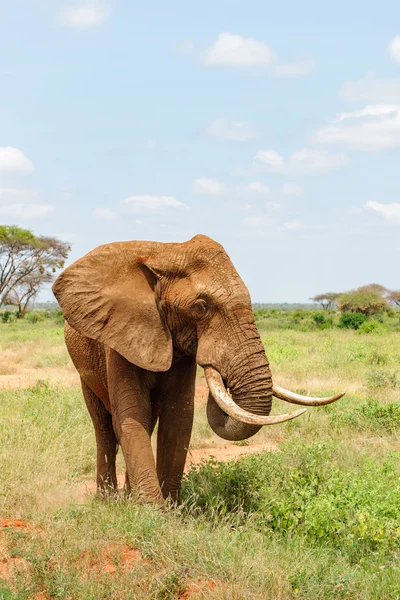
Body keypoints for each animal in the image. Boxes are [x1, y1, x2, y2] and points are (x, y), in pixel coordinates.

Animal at [51, 236, 342, 506]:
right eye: (201, 306)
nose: (223, 374)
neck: (164, 252)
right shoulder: (121, 337)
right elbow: (132, 417)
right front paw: (152, 513)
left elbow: (178, 418)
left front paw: (169, 510)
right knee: (103, 425)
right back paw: (107, 500)